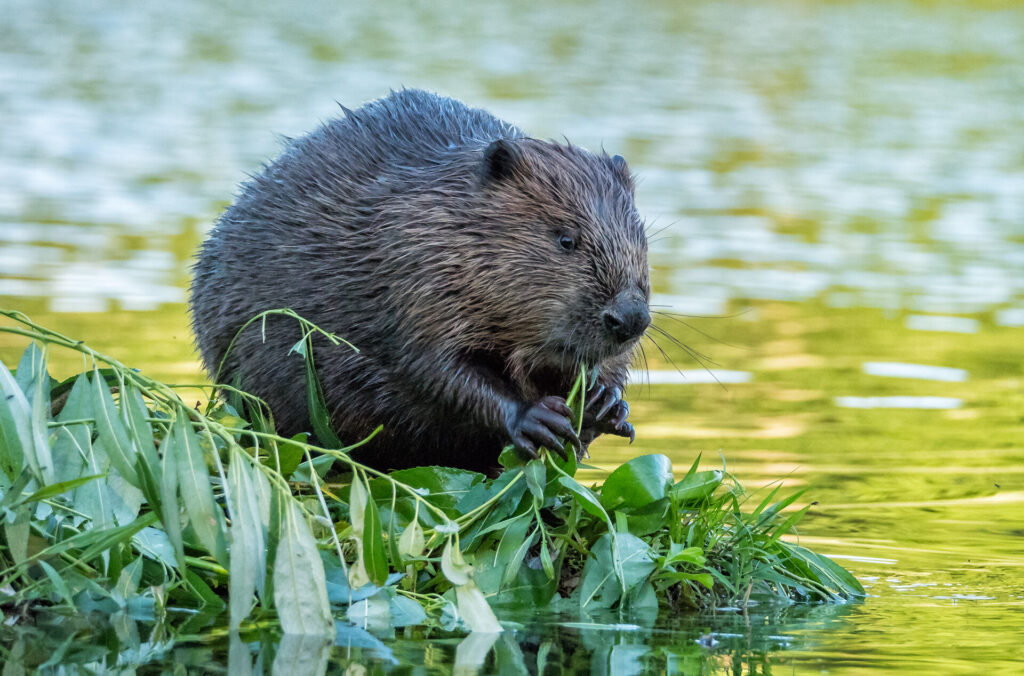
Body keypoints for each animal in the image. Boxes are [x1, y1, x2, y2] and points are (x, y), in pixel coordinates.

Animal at [190, 87, 647, 473]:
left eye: (640, 238)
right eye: (566, 239)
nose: (631, 318)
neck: (439, 209)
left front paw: (607, 404)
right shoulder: (413, 273)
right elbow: (435, 368)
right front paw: (537, 418)